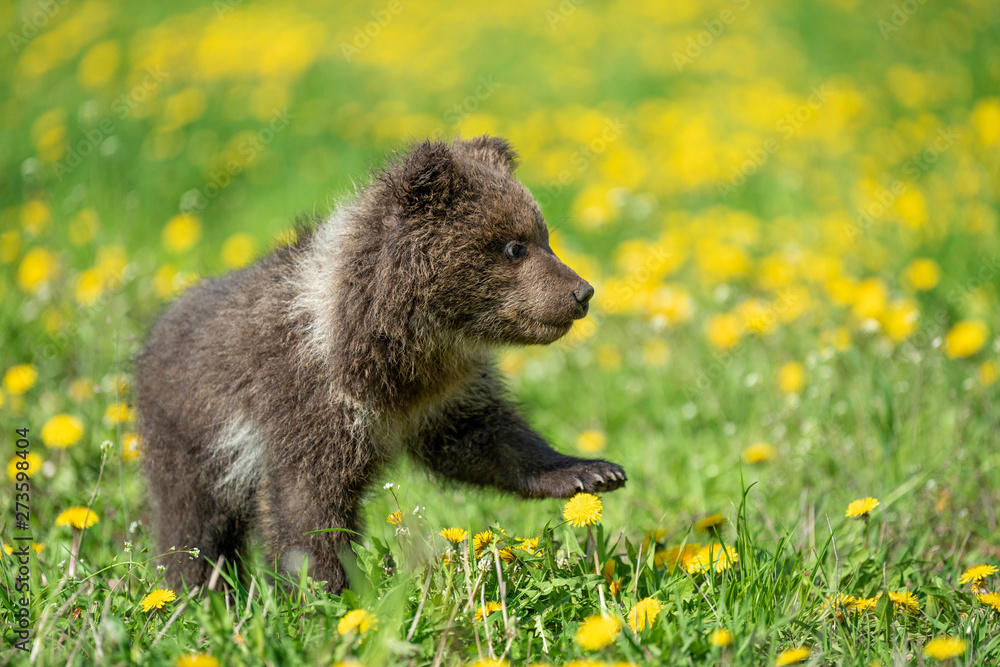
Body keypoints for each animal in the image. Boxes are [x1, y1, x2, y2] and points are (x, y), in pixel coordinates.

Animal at [136, 136, 627, 593]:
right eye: (514, 246)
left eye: (544, 236)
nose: (582, 291)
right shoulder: (308, 397)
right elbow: (308, 503)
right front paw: (324, 593)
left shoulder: (442, 395)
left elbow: (484, 440)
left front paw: (591, 471)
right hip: (191, 440)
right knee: (193, 527)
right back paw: (201, 593)